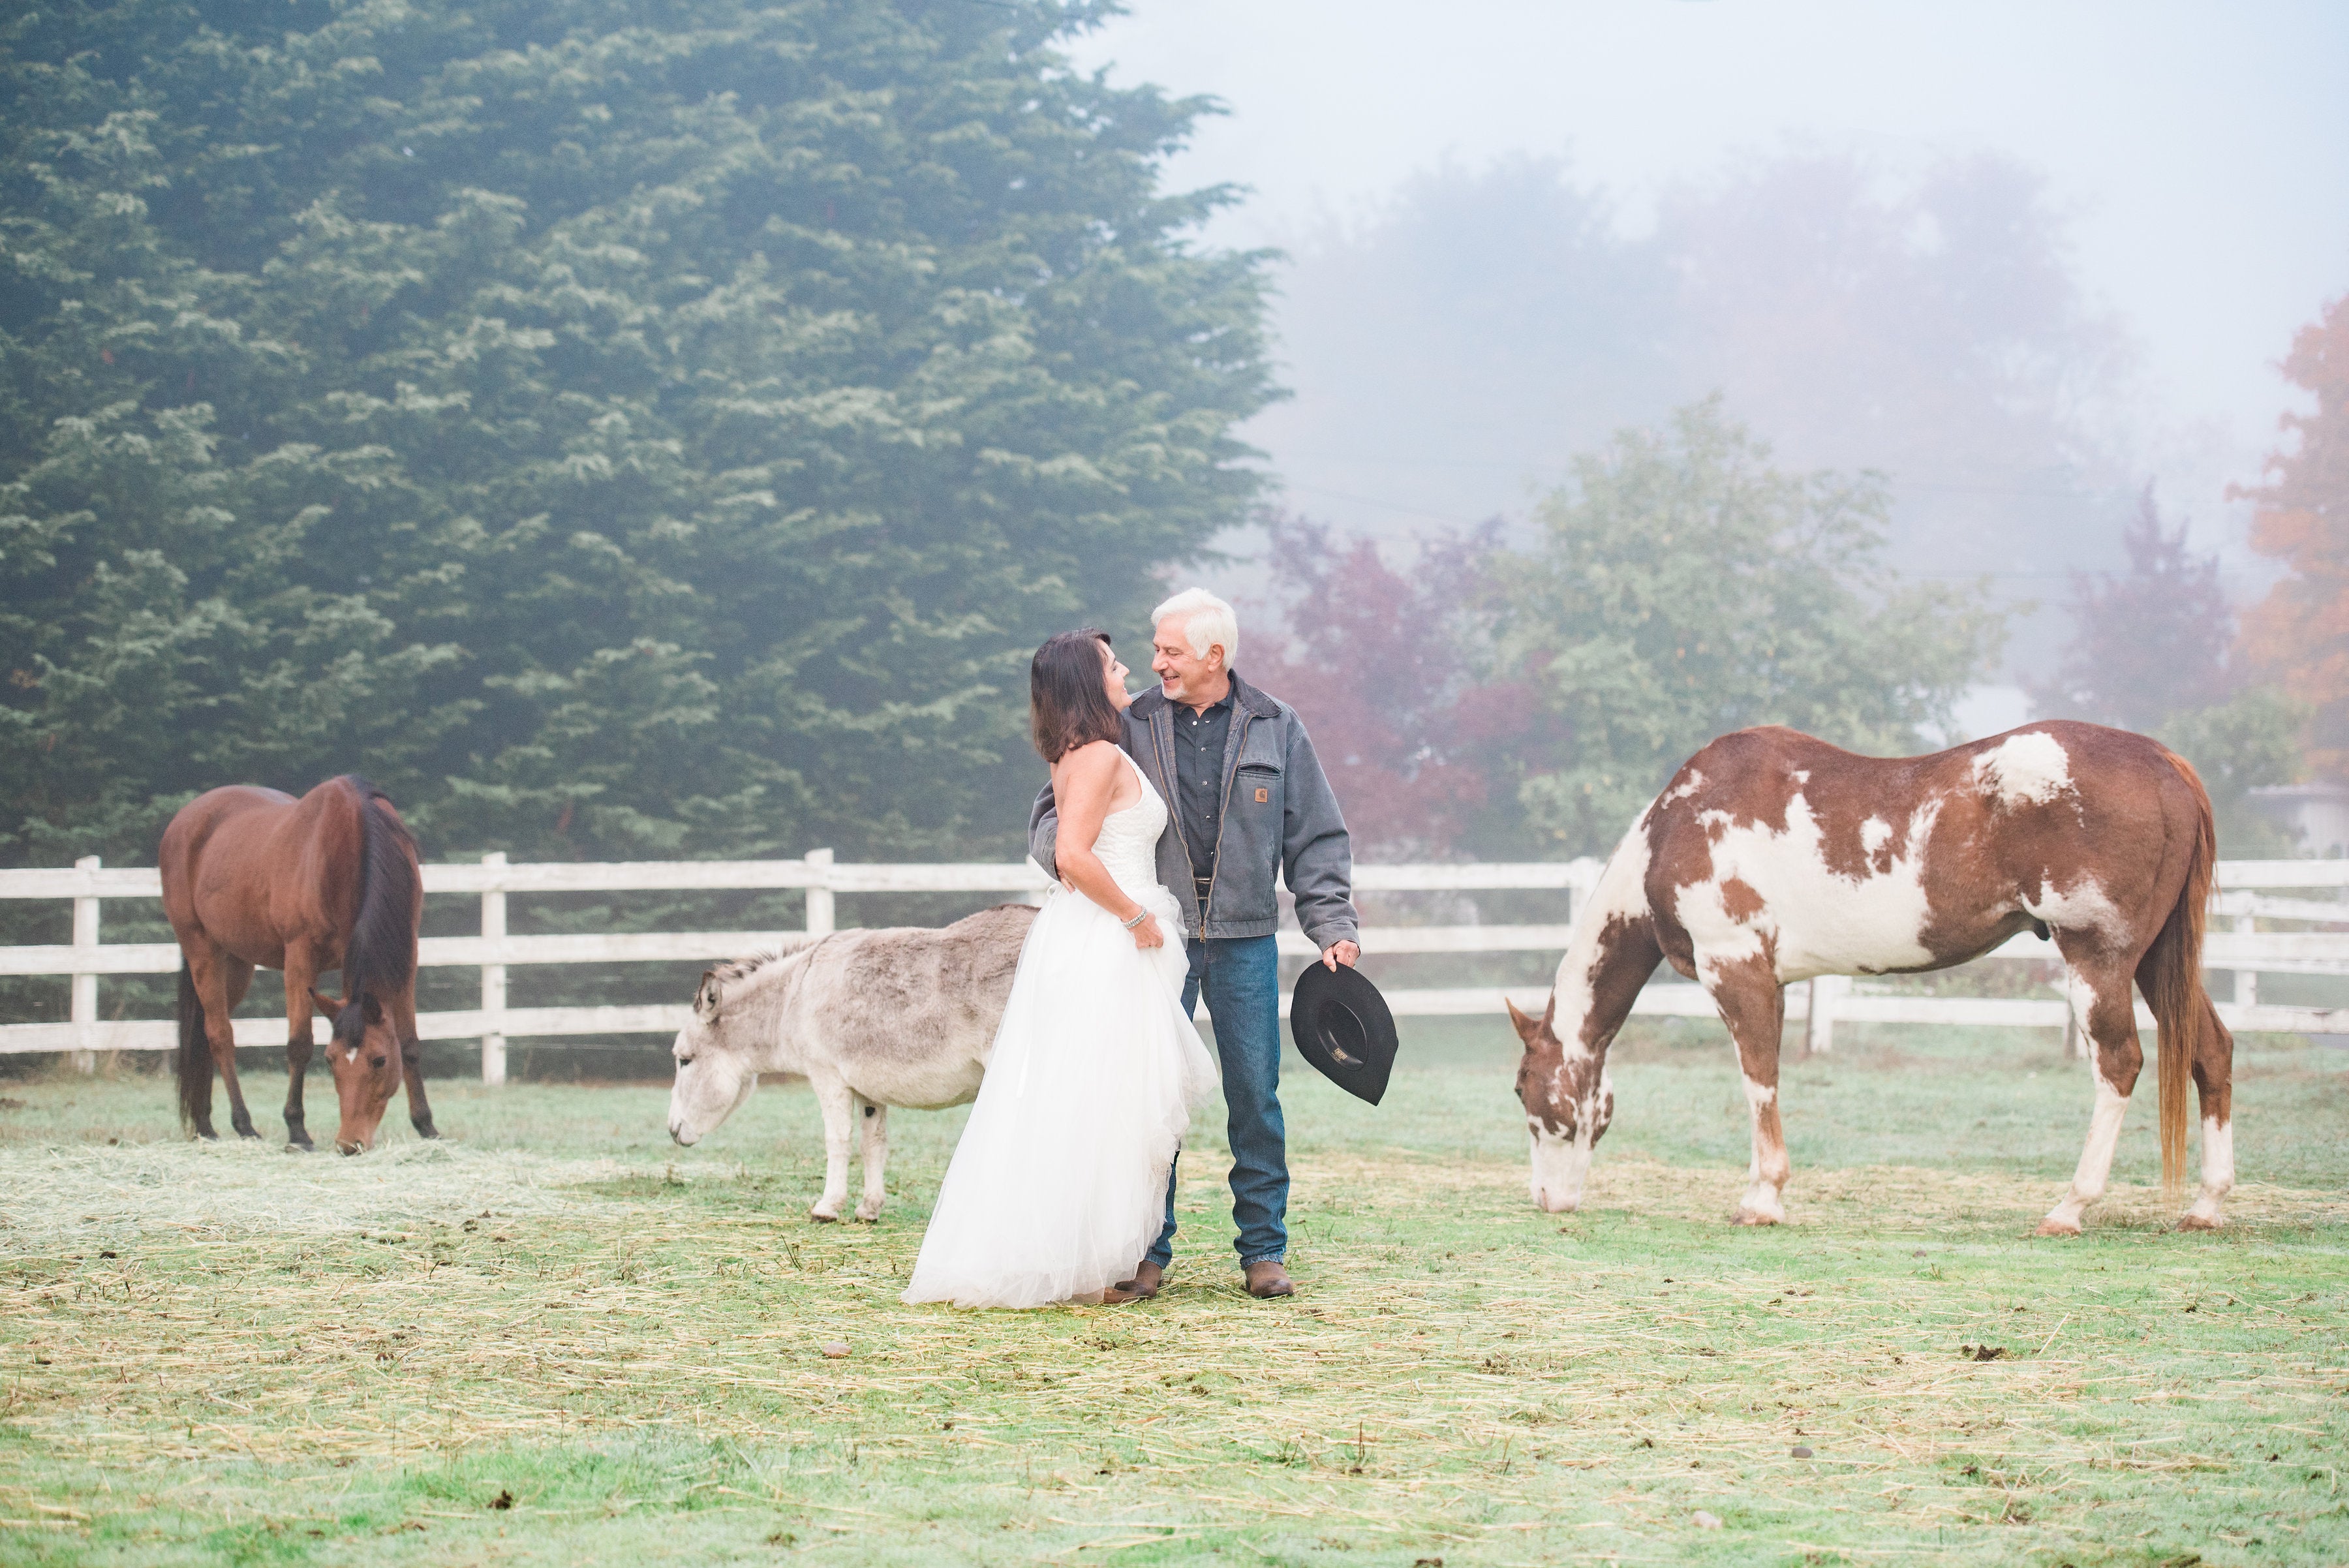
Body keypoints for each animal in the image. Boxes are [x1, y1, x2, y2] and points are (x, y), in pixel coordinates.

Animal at [161, 775, 437, 1150]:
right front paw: (297, 1129)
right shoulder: (300, 956)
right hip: (202, 949)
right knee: (220, 1034)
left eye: (380, 1060)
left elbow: (409, 1043)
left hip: (235, 962)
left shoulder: (405, 959)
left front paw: (427, 1126)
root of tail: (184, 820)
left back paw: (205, 1125)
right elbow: (299, 1044)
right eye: (331, 1060)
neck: (352, 842)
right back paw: (244, 1125)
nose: (349, 1144)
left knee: (204, 1035)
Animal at [662, 906, 1028, 1220]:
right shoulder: (869, 1087)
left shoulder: (827, 1076)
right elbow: (873, 1144)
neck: (795, 995)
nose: (672, 1131)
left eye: (685, 1061)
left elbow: (837, 1140)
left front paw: (827, 1207)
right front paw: (869, 1209)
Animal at [1512, 722, 2226, 1239]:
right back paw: (2207, 1206)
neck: (1678, 826)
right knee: (2211, 1053)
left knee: (2119, 1064)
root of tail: (2165, 762)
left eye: (1522, 1092)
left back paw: (2069, 1208)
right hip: (2159, 963)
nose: (1547, 1199)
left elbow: (1759, 1084)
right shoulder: (1770, 983)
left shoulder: (1737, 973)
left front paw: (1762, 1199)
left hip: (2100, 961)